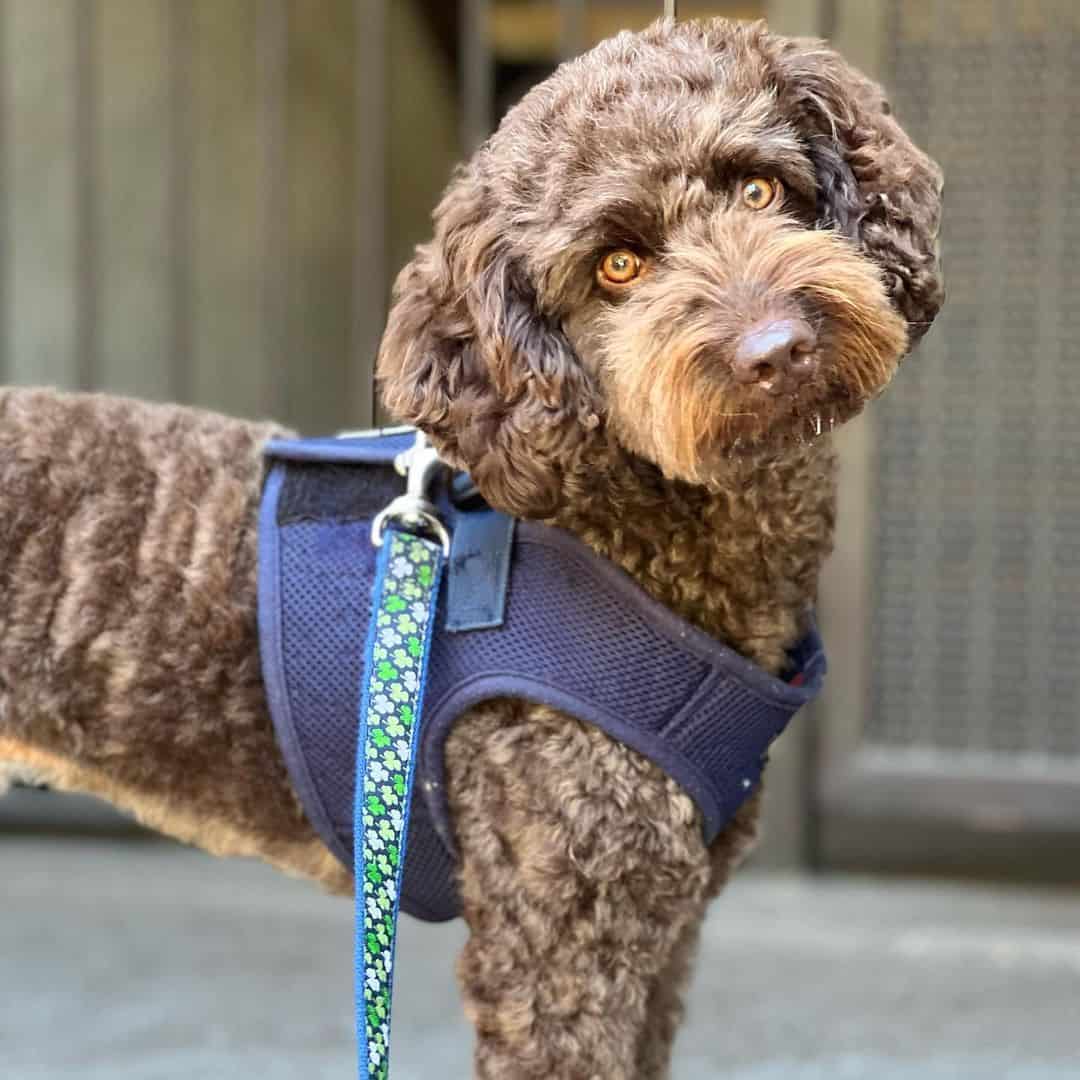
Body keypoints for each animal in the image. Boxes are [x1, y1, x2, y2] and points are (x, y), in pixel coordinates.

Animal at [0, 19, 941, 1080]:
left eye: (758, 190)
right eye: (618, 268)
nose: (776, 349)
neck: (635, 530)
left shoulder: (662, 928)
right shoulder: (562, 937)